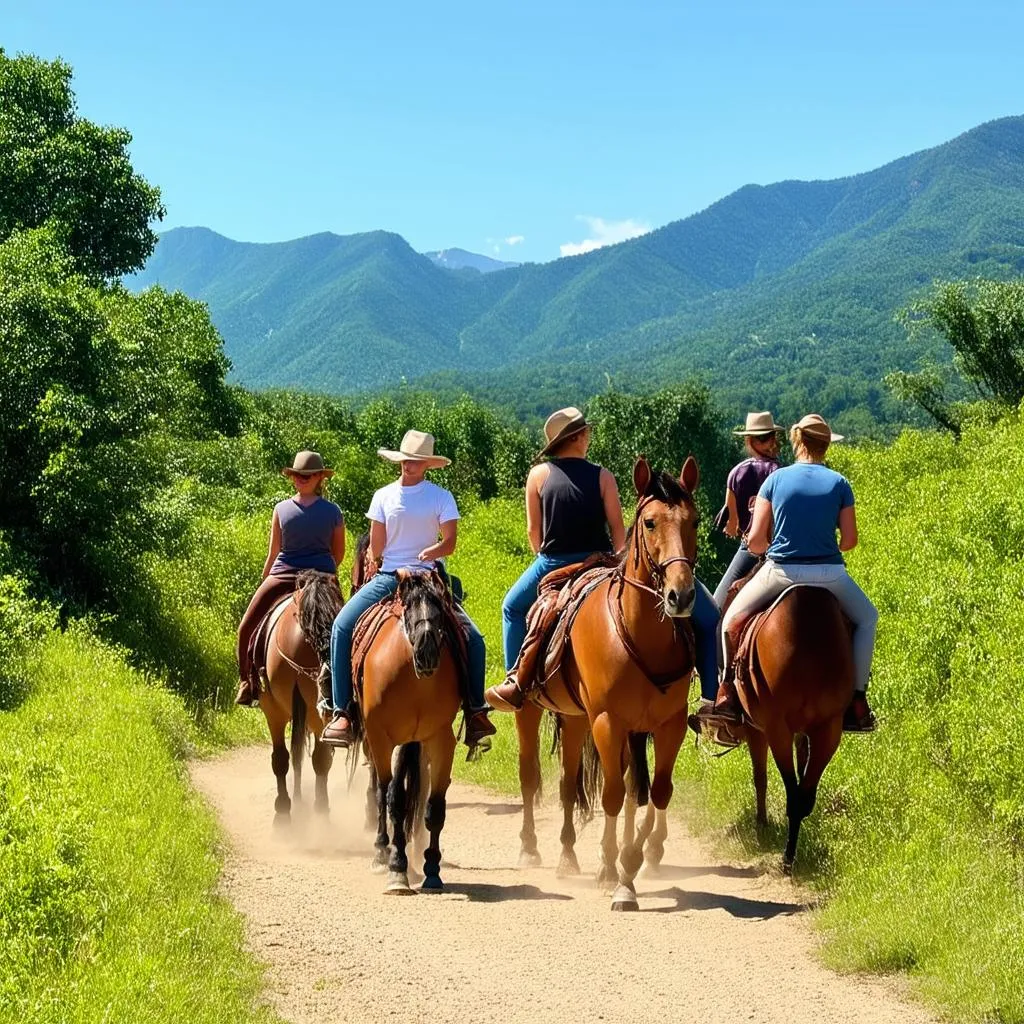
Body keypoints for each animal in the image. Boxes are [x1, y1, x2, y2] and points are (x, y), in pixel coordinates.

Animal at [256, 569, 344, 823]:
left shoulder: (275, 710)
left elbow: (290, 757)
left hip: (288, 711)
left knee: (291, 758)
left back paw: (291, 809)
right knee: (313, 758)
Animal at [356, 569, 460, 897]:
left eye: (439, 611)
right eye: (409, 609)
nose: (427, 651)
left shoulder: (439, 739)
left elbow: (434, 806)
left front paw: (432, 869)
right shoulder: (380, 735)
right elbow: (394, 801)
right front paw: (397, 868)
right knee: (382, 791)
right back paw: (381, 851)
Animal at [516, 456, 700, 913]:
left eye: (695, 521)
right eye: (650, 522)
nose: (681, 596)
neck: (639, 633)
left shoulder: (665, 726)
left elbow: (655, 792)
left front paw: (631, 863)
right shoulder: (608, 722)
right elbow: (615, 795)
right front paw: (618, 879)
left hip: (579, 720)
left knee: (569, 785)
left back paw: (569, 856)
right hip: (533, 711)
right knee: (530, 776)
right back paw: (531, 848)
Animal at [729, 585, 856, 872]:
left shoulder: (766, 728)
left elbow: (772, 780)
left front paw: (766, 829)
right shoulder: (817, 730)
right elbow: (798, 786)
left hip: (781, 729)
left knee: (793, 791)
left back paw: (787, 856)